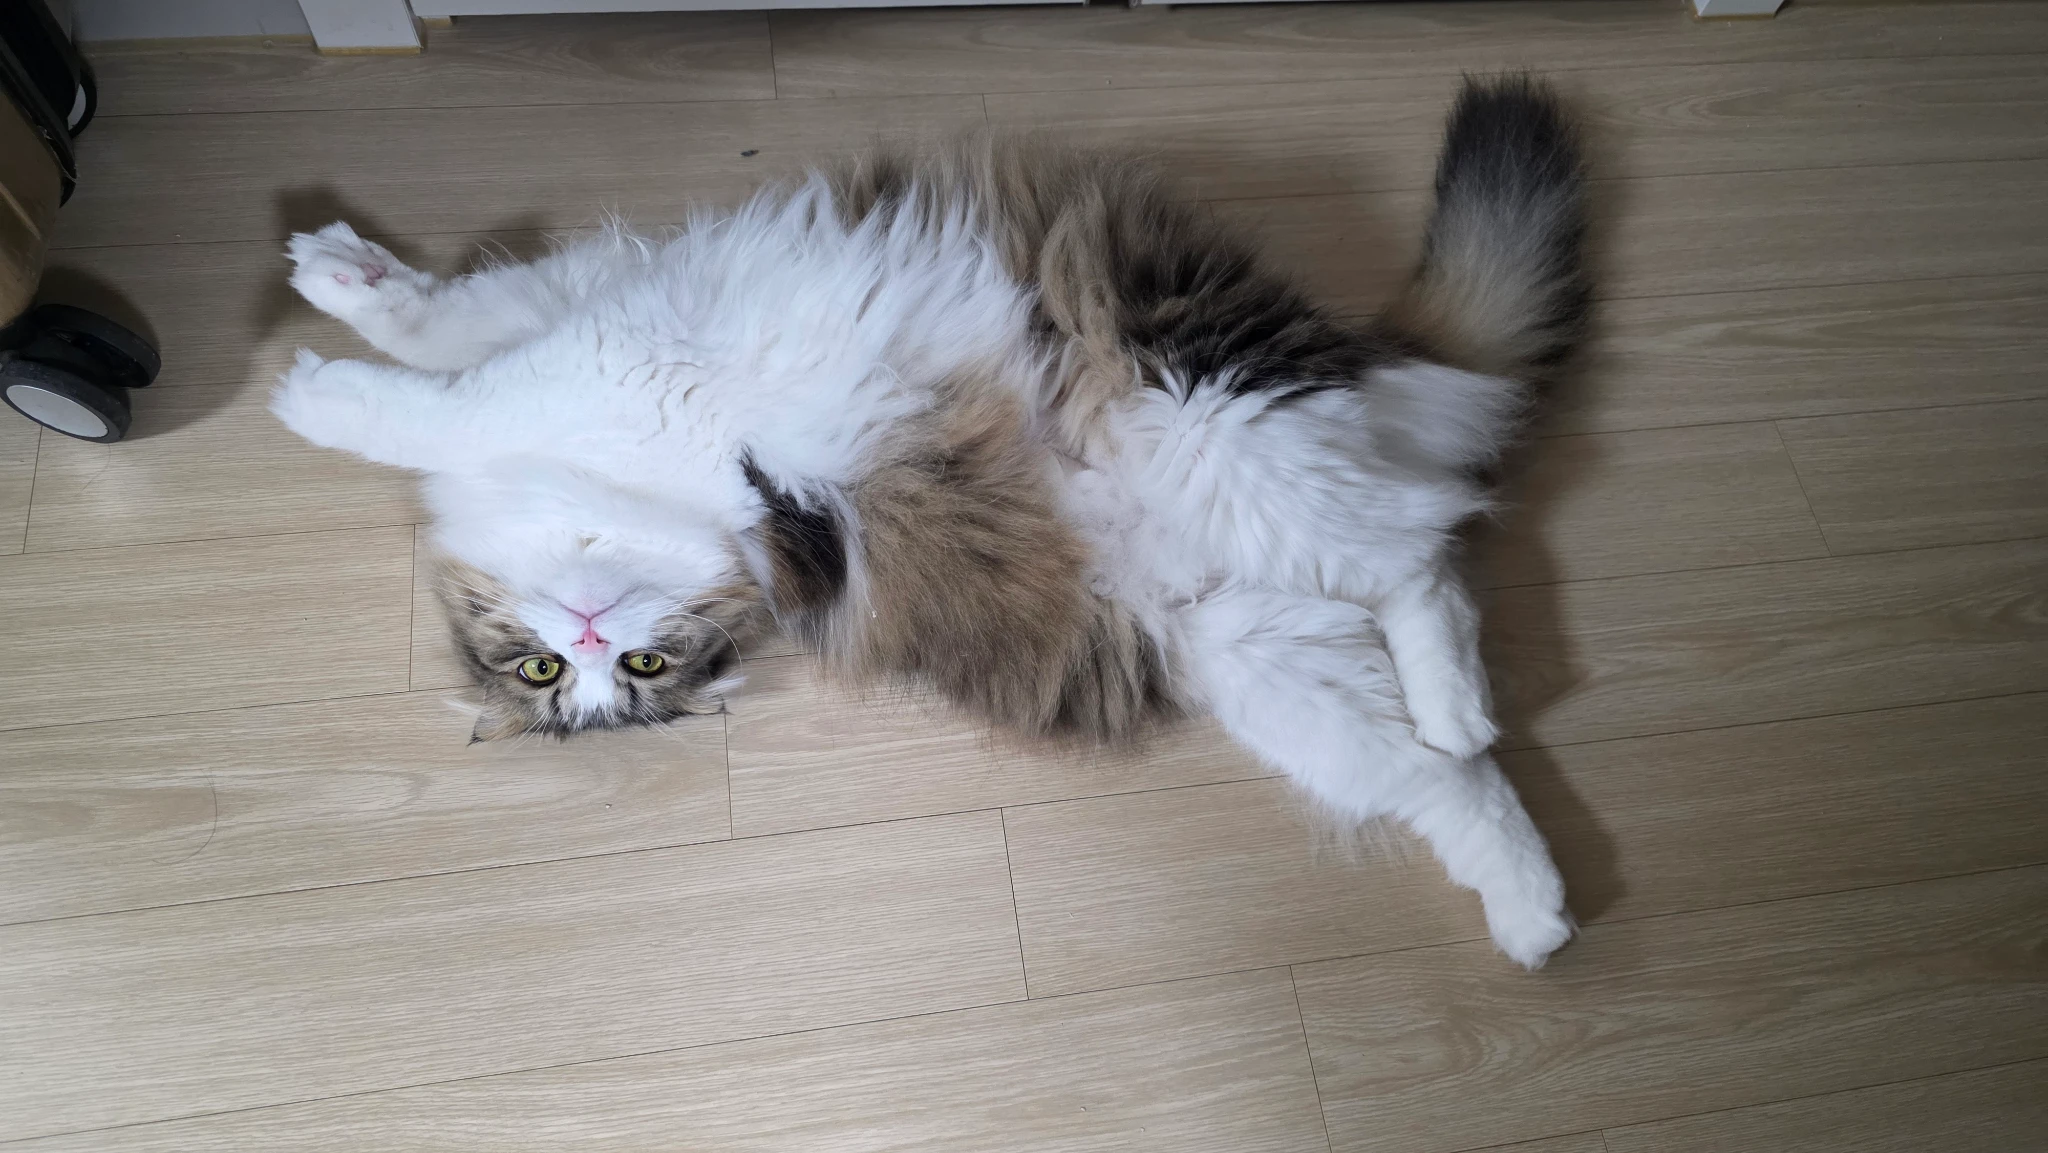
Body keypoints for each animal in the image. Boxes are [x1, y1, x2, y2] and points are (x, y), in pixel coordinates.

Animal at [273, 76, 1589, 969]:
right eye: (550, 675)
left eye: (631, 669)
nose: (593, 642)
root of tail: (1355, 363)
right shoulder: (577, 336)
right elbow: (445, 339)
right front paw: (340, 307)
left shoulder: (594, 357)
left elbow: (437, 384)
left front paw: (317, 362)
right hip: (1265, 658)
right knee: (1443, 770)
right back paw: (1532, 905)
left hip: (1219, 430)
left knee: (1428, 551)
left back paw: (1463, 707)